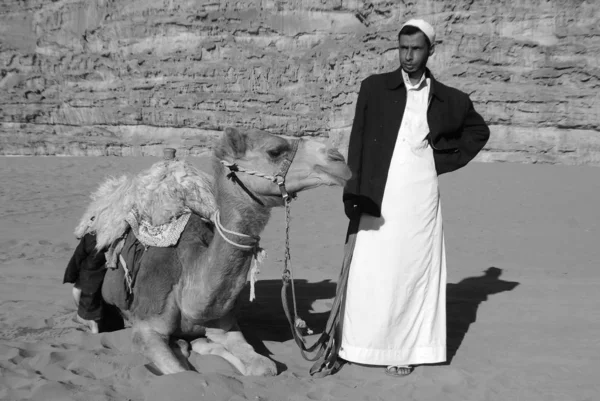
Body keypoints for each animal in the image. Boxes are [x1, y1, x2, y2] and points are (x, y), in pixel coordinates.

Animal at [98, 128, 352, 376]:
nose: (339, 160)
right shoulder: (147, 327)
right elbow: (180, 371)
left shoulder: (227, 326)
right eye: (275, 151)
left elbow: (264, 367)